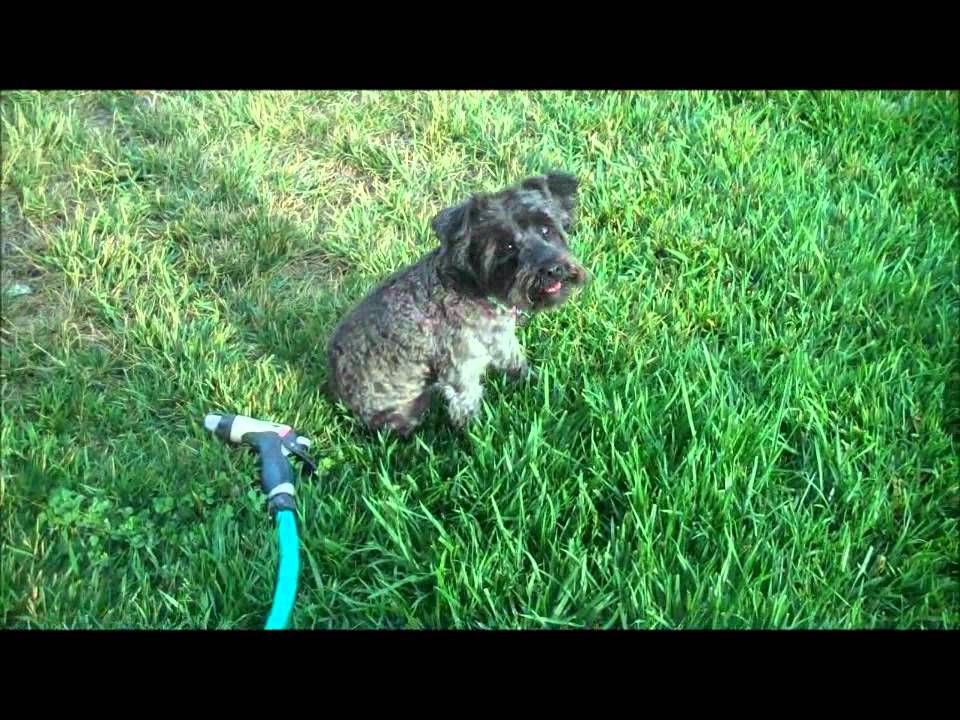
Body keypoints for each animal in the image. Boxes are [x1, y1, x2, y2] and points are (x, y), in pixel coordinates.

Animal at [326, 172, 588, 436]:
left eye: (546, 229)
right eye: (507, 246)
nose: (552, 269)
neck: (473, 288)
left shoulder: (502, 340)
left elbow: (515, 362)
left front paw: (533, 382)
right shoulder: (460, 370)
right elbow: (468, 408)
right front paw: (480, 437)